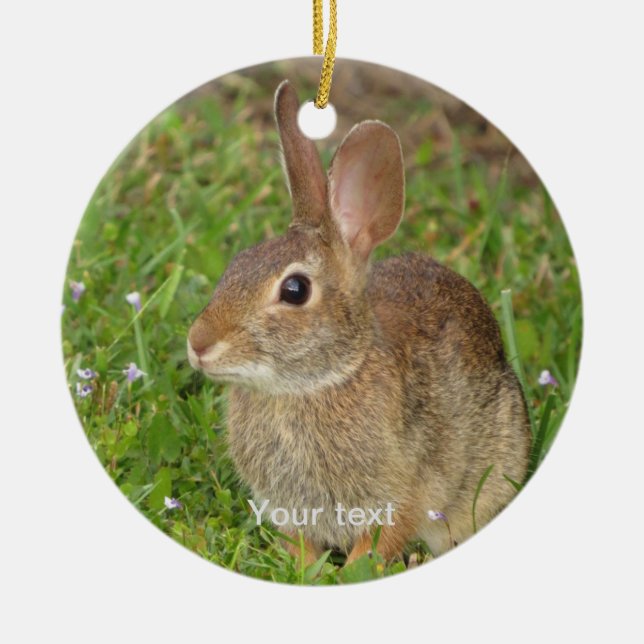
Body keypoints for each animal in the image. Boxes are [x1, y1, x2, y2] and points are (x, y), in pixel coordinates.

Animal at [187, 80, 531, 565]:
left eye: (295, 290)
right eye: (237, 263)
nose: (198, 344)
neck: (317, 382)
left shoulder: (403, 495)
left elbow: (379, 542)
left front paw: (350, 569)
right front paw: (303, 567)